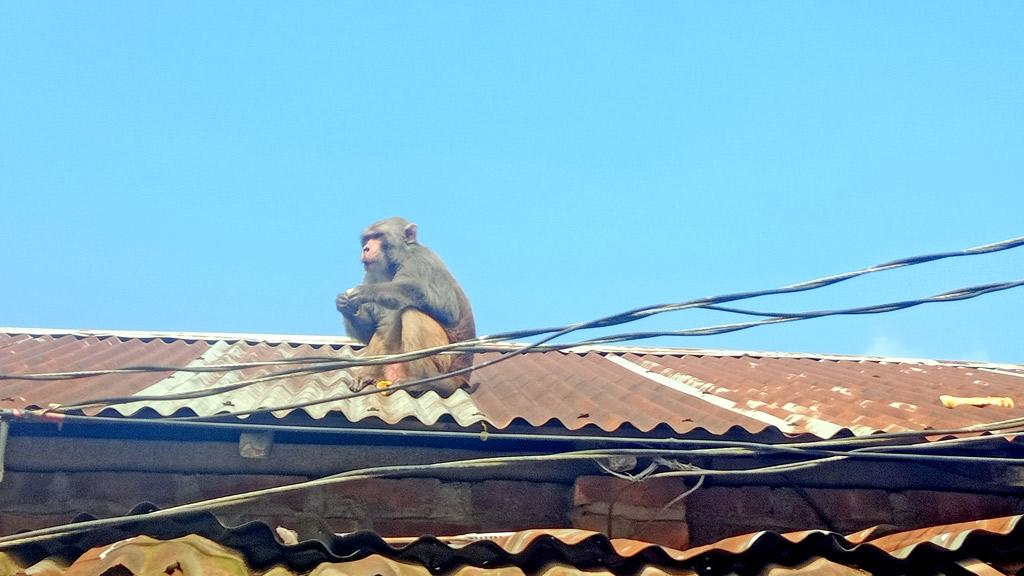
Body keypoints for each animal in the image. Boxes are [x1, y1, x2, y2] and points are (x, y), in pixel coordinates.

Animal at [337, 216, 477, 393]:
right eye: (367, 239)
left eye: (377, 236)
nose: (366, 248)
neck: (395, 264)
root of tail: (461, 377)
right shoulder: (372, 274)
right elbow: (369, 331)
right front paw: (345, 306)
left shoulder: (419, 261)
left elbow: (447, 308)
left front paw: (366, 292)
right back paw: (367, 375)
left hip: (444, 361)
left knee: (411, 312)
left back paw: (426, 381)